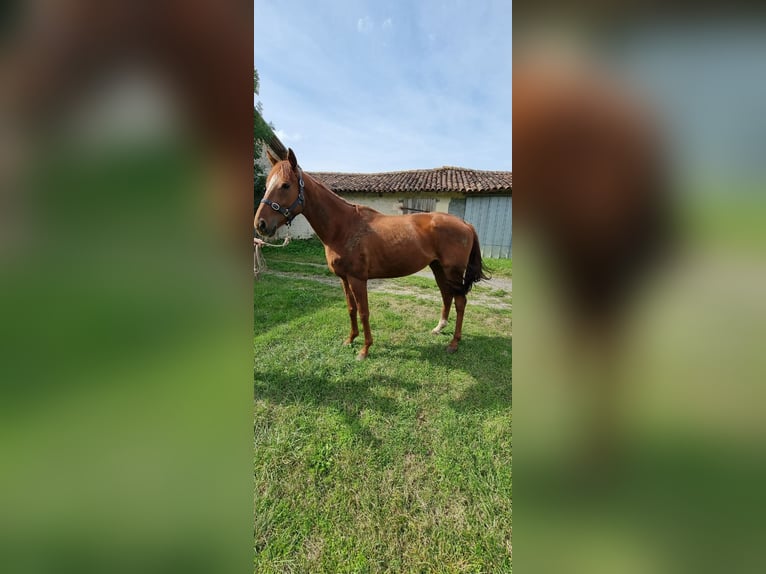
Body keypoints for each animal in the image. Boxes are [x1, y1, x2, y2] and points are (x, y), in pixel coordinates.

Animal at [255, 148, 488, 360]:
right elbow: (351, 309)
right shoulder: (344, 279)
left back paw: (454, 343)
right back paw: (439, 328)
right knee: (447, 296)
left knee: (460, 302)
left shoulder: (358, 279)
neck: (344, 227)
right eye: (267, 185)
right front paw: (350, 339)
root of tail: (465, 224)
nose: (261, 224)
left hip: (453, 271)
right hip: (438, 268)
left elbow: (364, 311)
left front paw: (365, 349)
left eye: (285, 185)